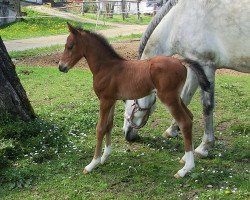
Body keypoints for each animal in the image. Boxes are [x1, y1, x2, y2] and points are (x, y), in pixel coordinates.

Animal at [59, 23, 211, 178]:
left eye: (70, 46)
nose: (61, 66)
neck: (106, 67)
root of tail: (181, 61)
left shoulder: (104, 100)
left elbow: (100, 128)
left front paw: (92, 164)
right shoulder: (112, 100)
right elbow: (109, 125)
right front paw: (105, 157)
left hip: (169, 99)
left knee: (184, 122)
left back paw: (185, 169)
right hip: (176, 97)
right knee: (190, 117)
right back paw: (185, 158)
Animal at [123, 0, 250, 157]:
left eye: (126, 100)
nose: (126, 133)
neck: (179, 19)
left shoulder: (205, 66)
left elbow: (207, 106)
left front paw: (204, 147)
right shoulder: (194, 65)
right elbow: (184, 98)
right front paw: (171, 130)